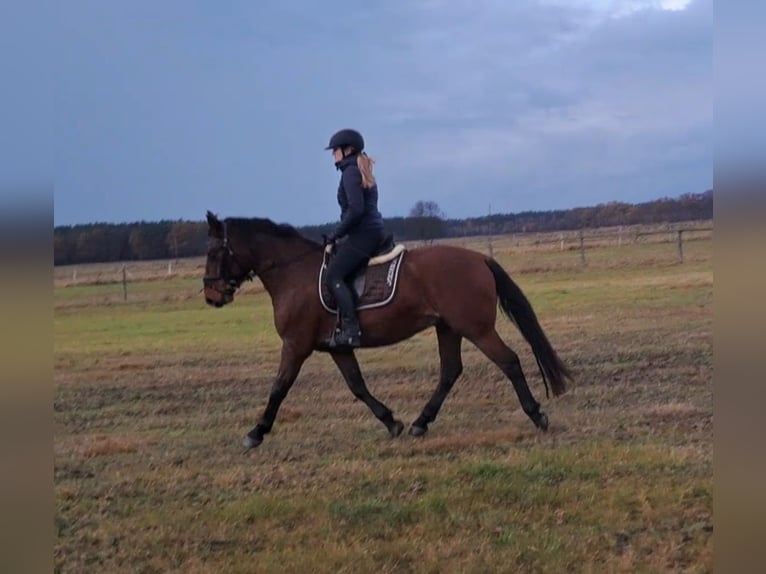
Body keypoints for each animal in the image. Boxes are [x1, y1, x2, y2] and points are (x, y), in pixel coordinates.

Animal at [201, 212, 572, 450]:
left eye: (214, 251)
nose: (211, 296)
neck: (294, 273)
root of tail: (480, 259)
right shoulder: (338, 347)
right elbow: (357, 385)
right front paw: (391, 421)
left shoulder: (296, 344)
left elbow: (279, 387)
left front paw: (256, 433)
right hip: (448, 328)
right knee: (450, 371)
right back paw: (421, 423)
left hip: (476, 328)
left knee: (508, 361)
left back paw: (537, 415)